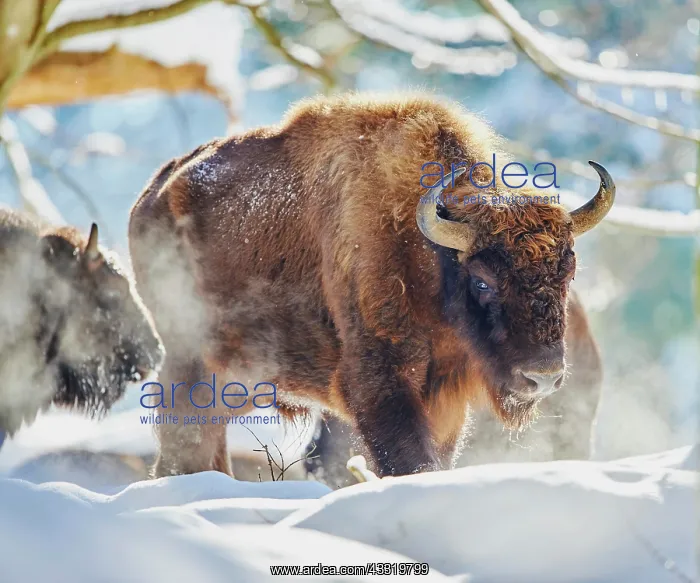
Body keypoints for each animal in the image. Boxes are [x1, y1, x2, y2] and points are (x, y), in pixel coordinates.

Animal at [129, 93, 614, 478]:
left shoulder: (445, 402)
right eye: (482, 280)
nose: (543, 377)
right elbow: (409, 459)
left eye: (567, 273)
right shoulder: (380, 381)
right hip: (192, 358)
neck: (427, 255)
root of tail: (152, 194)